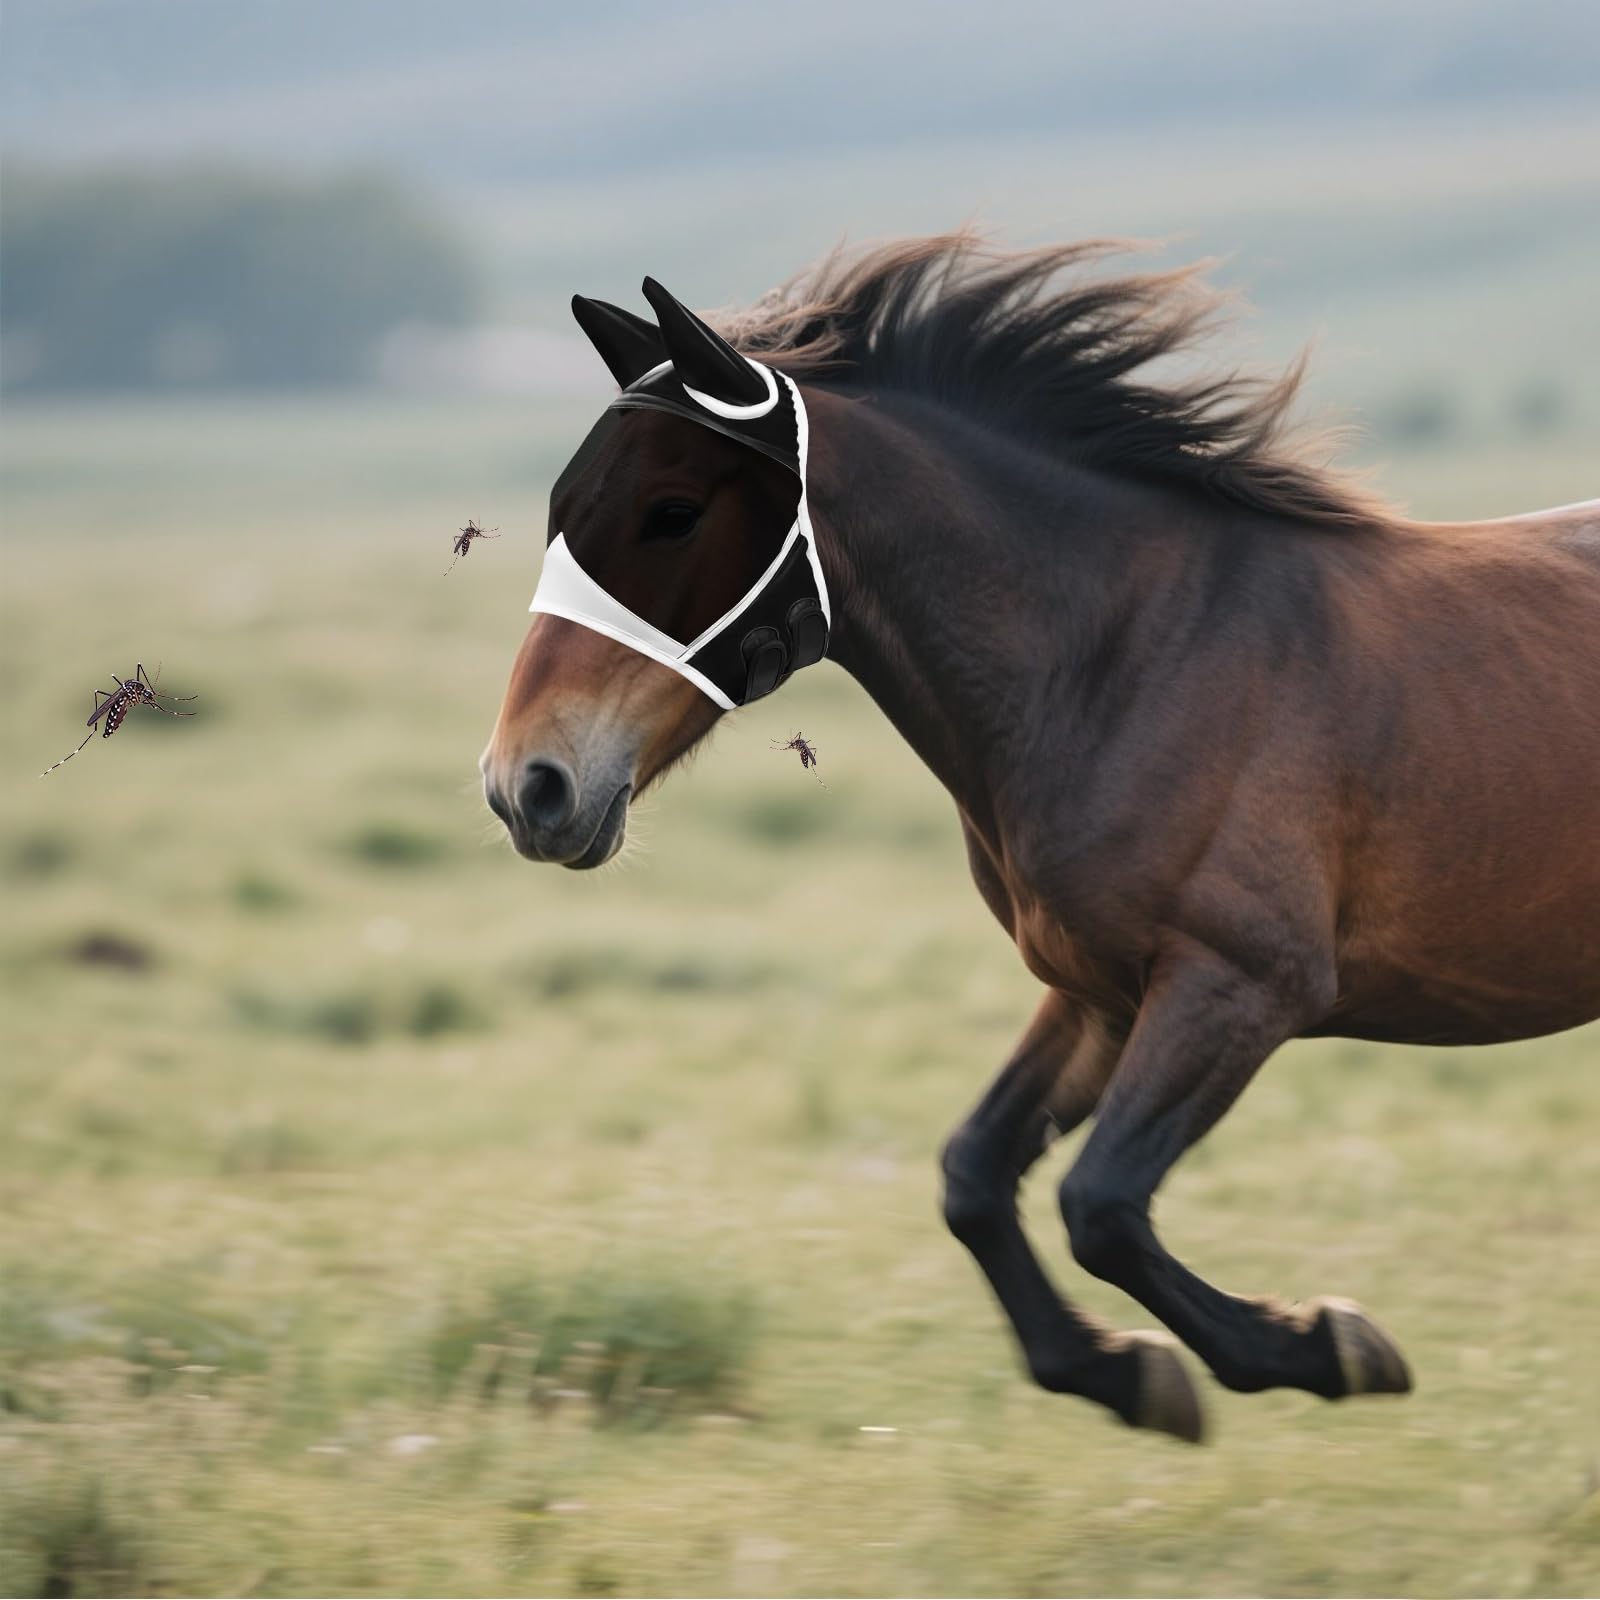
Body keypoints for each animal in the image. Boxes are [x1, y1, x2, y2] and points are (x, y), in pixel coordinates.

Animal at [481, 234, 1600, 1442]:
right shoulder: (1098, 989)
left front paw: (1327, 1345)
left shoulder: (1241, 985)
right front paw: (1127, 1371)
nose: (526, 787)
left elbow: (1098, 1203)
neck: (1126, 659)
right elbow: (975, 1175)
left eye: (674, 510)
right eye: (560, 505)